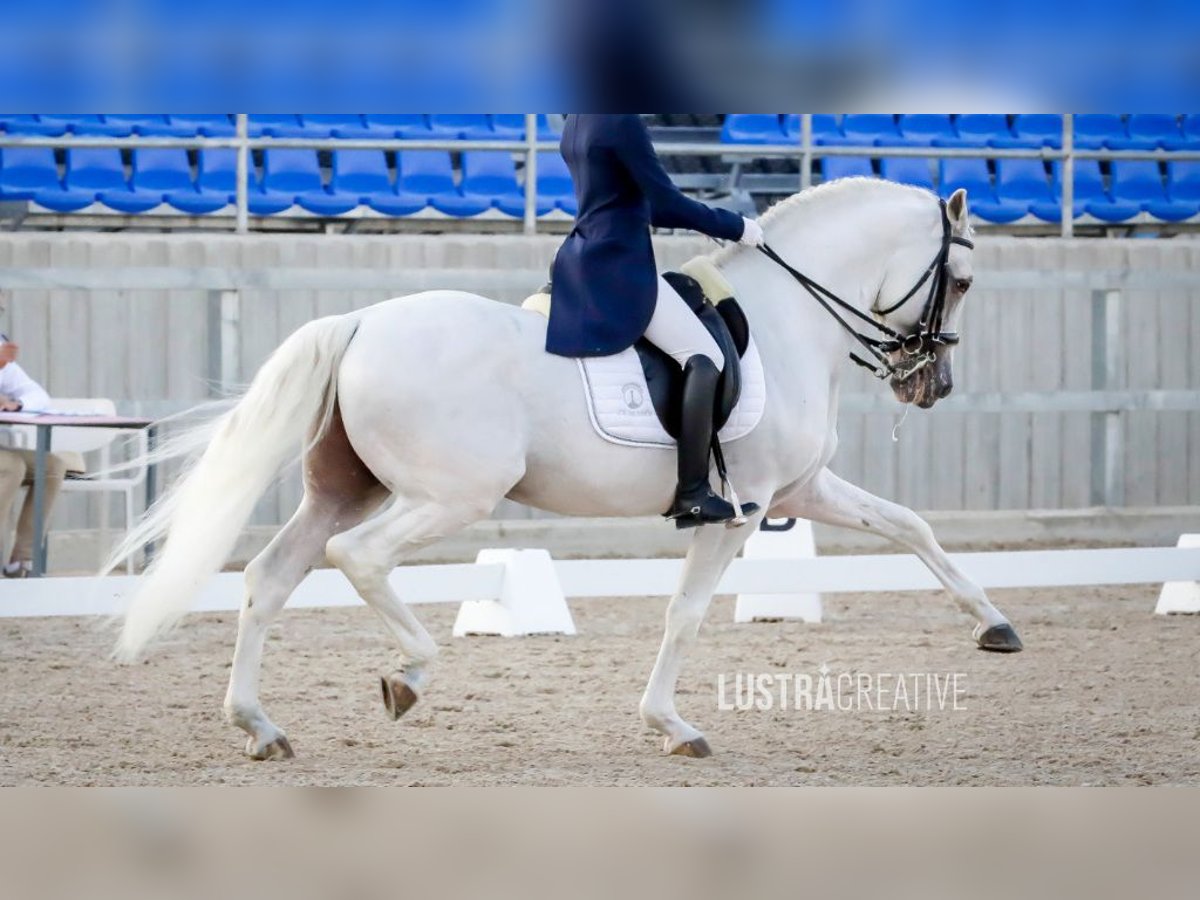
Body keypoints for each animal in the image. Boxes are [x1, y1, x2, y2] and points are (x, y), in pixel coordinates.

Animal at [114, 180, 1022, 763]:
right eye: (962, 281)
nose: (929, 385)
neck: (786, 316)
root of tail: (363, 320)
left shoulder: (800, 489)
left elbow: (910, 525)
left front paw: (995, 626)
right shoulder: (747, 506)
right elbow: (685, 616)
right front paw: (672, 726)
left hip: (344, 489)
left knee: (270, 577)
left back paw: (260, 727)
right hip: (451, 494)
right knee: (357, 559)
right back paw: (409, 676)